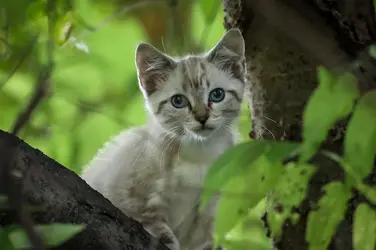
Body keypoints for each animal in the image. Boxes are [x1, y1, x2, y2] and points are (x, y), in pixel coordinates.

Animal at [81, 28, 247, 249]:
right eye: (178, 101)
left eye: (217, 95)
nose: (202, 117)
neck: (199, 154)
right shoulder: (135, 200)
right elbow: (158, 229)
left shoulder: (206, 215)